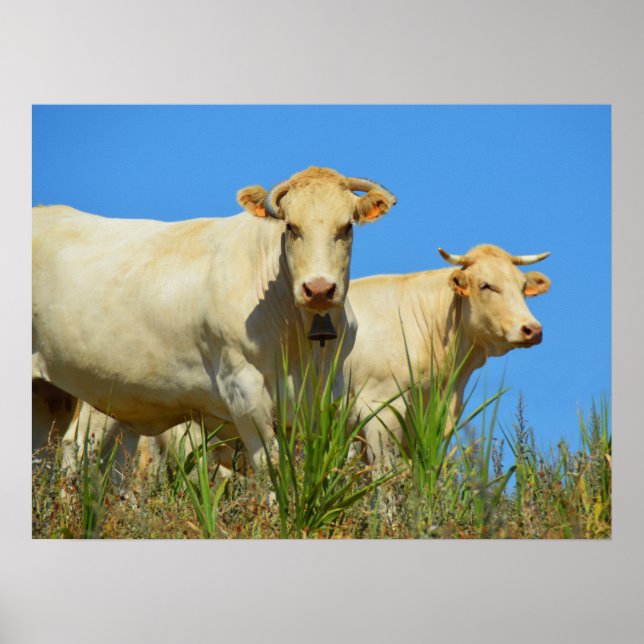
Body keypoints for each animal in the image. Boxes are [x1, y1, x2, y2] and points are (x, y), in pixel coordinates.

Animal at [32, 167, 397, 476]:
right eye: (291, 227)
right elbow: (271, 467)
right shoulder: (243, 389)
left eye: (346, 227)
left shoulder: (321, 398)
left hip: (65, 398)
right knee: (79, 452)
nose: (319, 289)